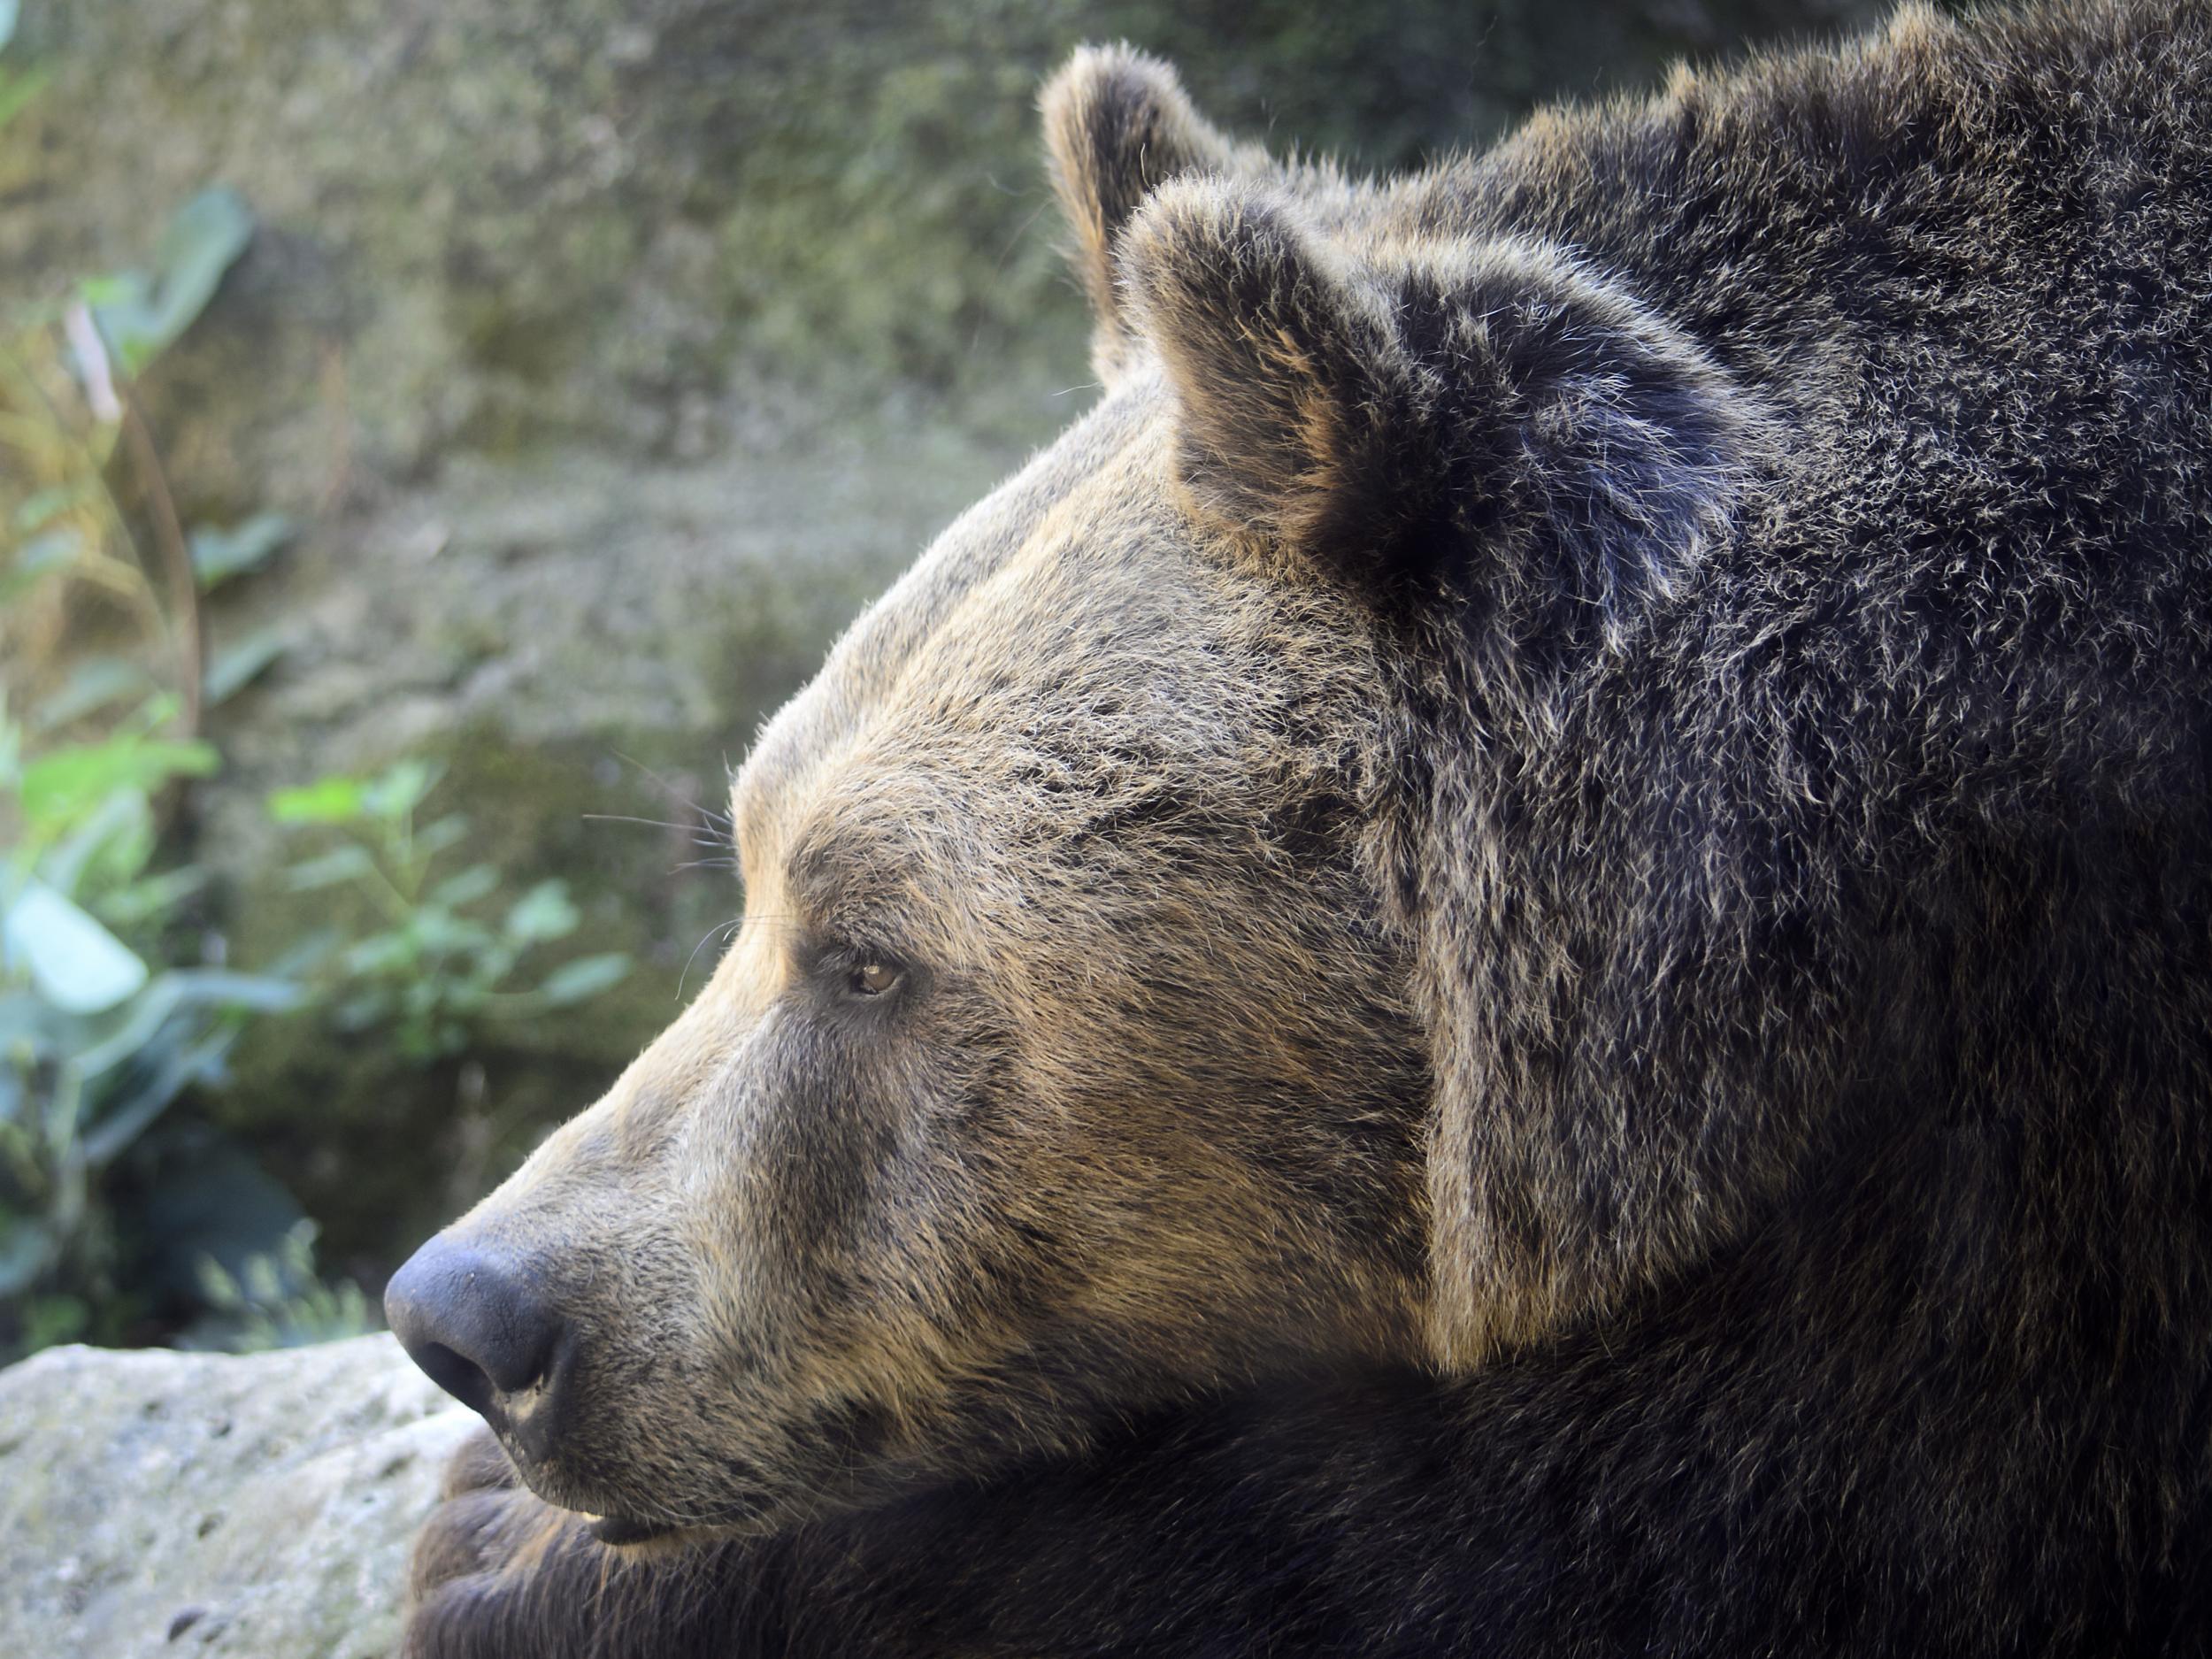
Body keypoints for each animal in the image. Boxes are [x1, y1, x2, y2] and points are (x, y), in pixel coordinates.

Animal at [385, 6, 2212, 1655]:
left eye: (870, 957)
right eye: (750, 864)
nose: (467, 1316)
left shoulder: (2039, 1128)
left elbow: (1624, 1515)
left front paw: (529, 1567)